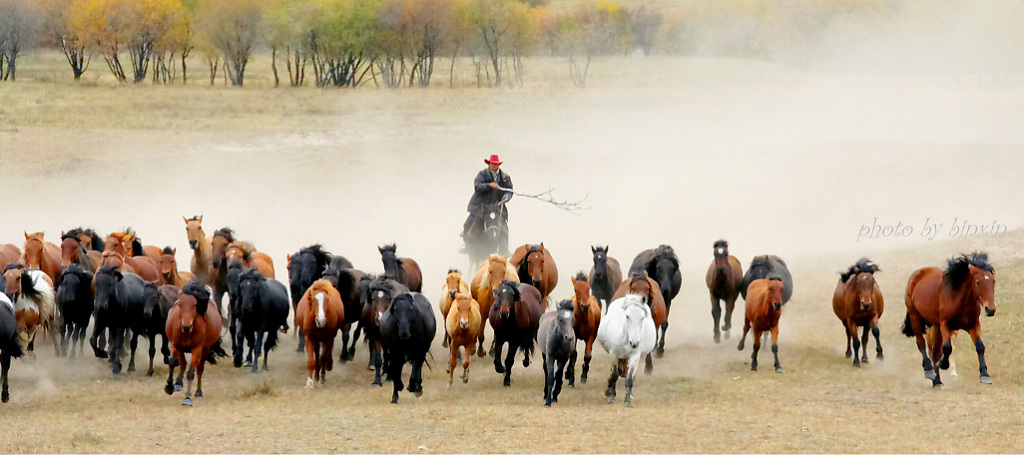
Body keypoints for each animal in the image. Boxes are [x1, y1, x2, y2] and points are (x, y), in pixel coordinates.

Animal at [901, 252, 995, 387]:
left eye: (993, 281)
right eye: (978, 282)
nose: (990, 309)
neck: (960, 300)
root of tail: (916, 275)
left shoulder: (973, 325)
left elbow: (980, 346)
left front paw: (984, 375)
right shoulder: (945, 324)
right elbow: (947, 347)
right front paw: (943, 364)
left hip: (935, 325)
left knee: (934, 352)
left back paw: (937, 381)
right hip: (915, 317)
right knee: (921, 344)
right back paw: (929, 371)